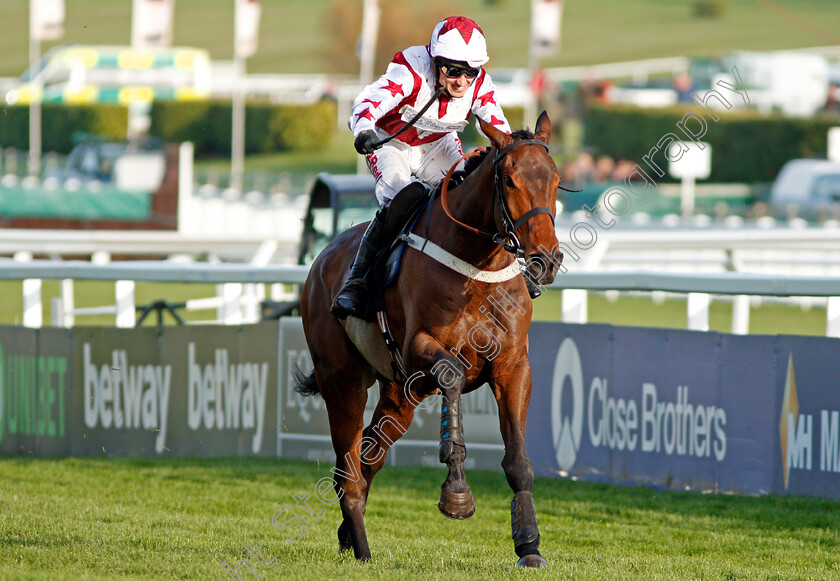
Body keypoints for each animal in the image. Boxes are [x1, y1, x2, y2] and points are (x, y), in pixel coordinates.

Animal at [296, 112, 564, 568]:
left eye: (556, 178)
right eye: (509, 181)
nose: (546, 258)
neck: (476, 267)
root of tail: (320, 262)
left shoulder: (513, 367)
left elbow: (518, 461)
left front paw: (529, 544)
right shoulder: (421, 350)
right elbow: (453, 378)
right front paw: (456, 491)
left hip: (400, 394)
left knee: (368, 457)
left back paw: (348, 535)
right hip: (342, 381)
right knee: (350, 469)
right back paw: (362, 547)